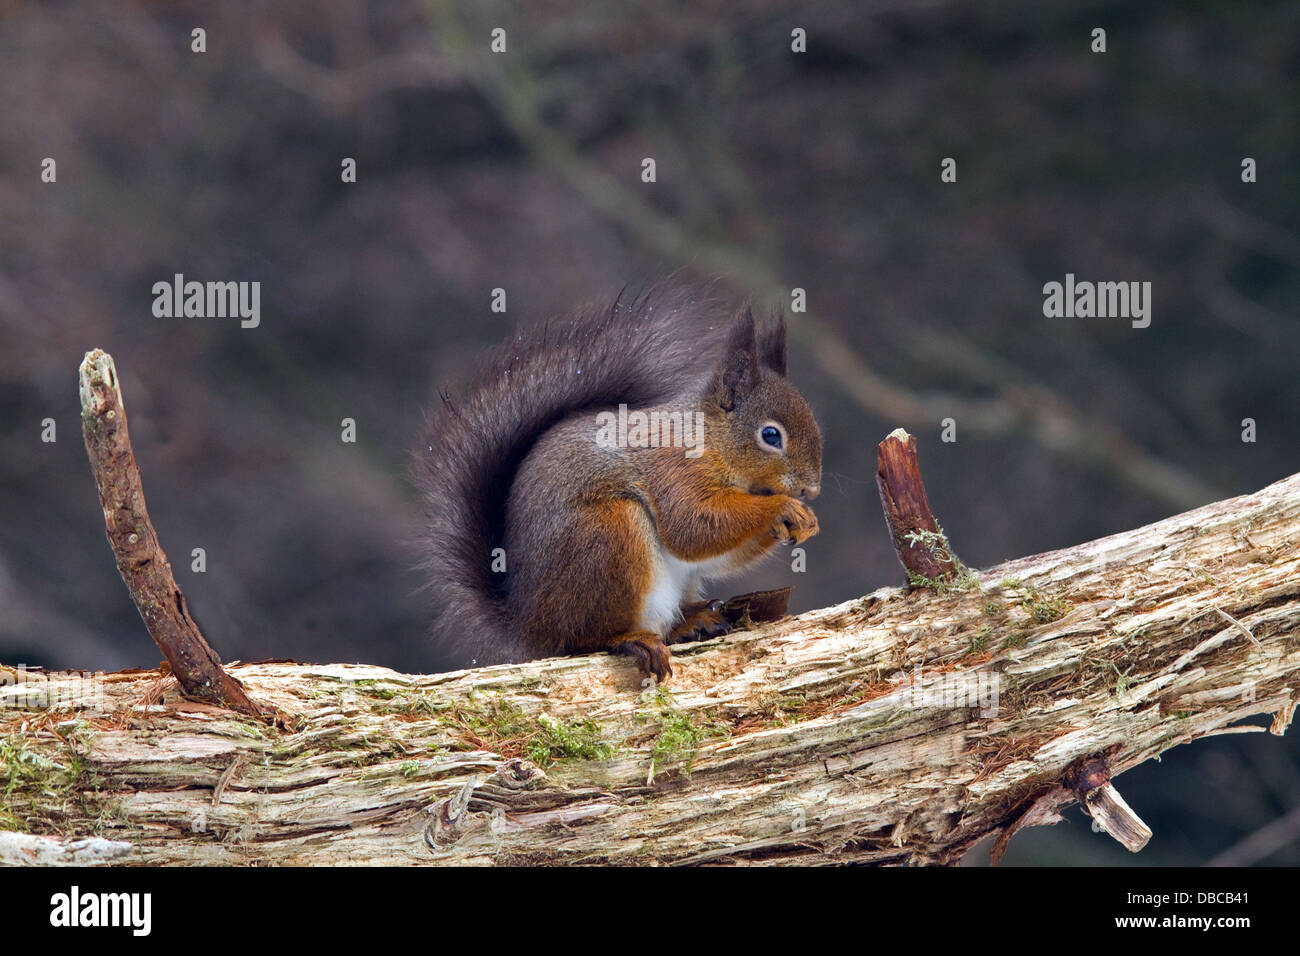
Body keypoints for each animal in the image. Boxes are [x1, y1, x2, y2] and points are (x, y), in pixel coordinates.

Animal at [416, 283, 821, 681]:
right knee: (587, 638)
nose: (811, 489)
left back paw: (692, 621)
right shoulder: (674, 468)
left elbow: (718, 556)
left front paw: (804, 522)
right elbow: (693, 527)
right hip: (609, 535)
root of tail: (529, 625)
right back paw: (632, 638)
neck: (710, 437)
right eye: (771, 435)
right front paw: (783, 508)